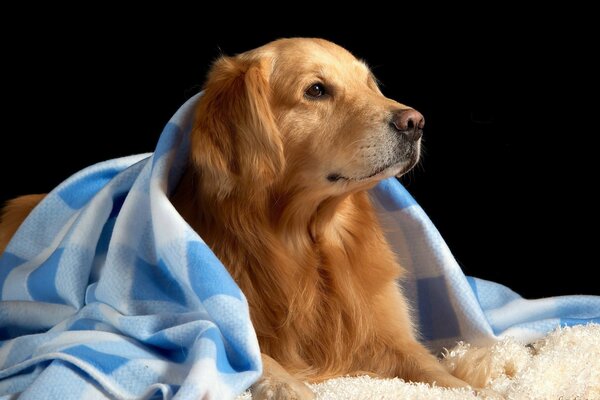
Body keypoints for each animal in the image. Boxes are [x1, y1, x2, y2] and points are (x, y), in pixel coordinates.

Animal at [0, 38, 480, 400]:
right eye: (316, 90)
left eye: (371, 86)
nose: (415, 122)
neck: (302, 243)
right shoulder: (211, 324)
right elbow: (260, 362)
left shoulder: (387, 331)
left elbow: (437, 371)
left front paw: (475, 386)